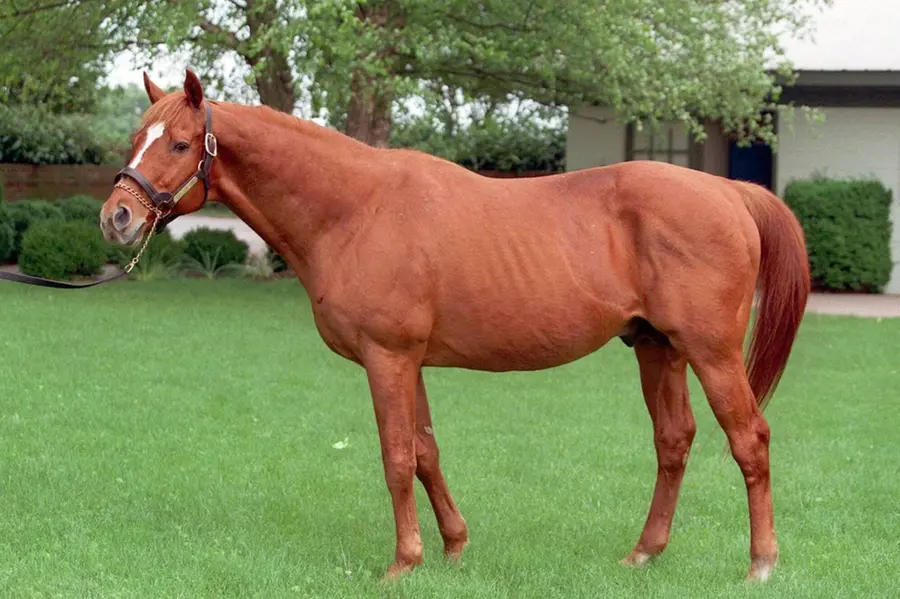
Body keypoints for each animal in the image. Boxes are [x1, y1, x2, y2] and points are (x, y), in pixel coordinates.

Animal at [99, 69, 810, 583]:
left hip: (711, 352)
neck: (354, 208)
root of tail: (728, 193)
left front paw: (403, 562)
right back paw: (644, 553)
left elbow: (395, 457)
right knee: (674, 441)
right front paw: (453, 546)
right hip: (656, 348)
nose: (117, 219)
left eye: (180, 144)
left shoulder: (387, 357)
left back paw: (761, 563)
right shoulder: (410, 361)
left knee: (749, 440)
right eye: (134, 139)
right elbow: (426, 452)